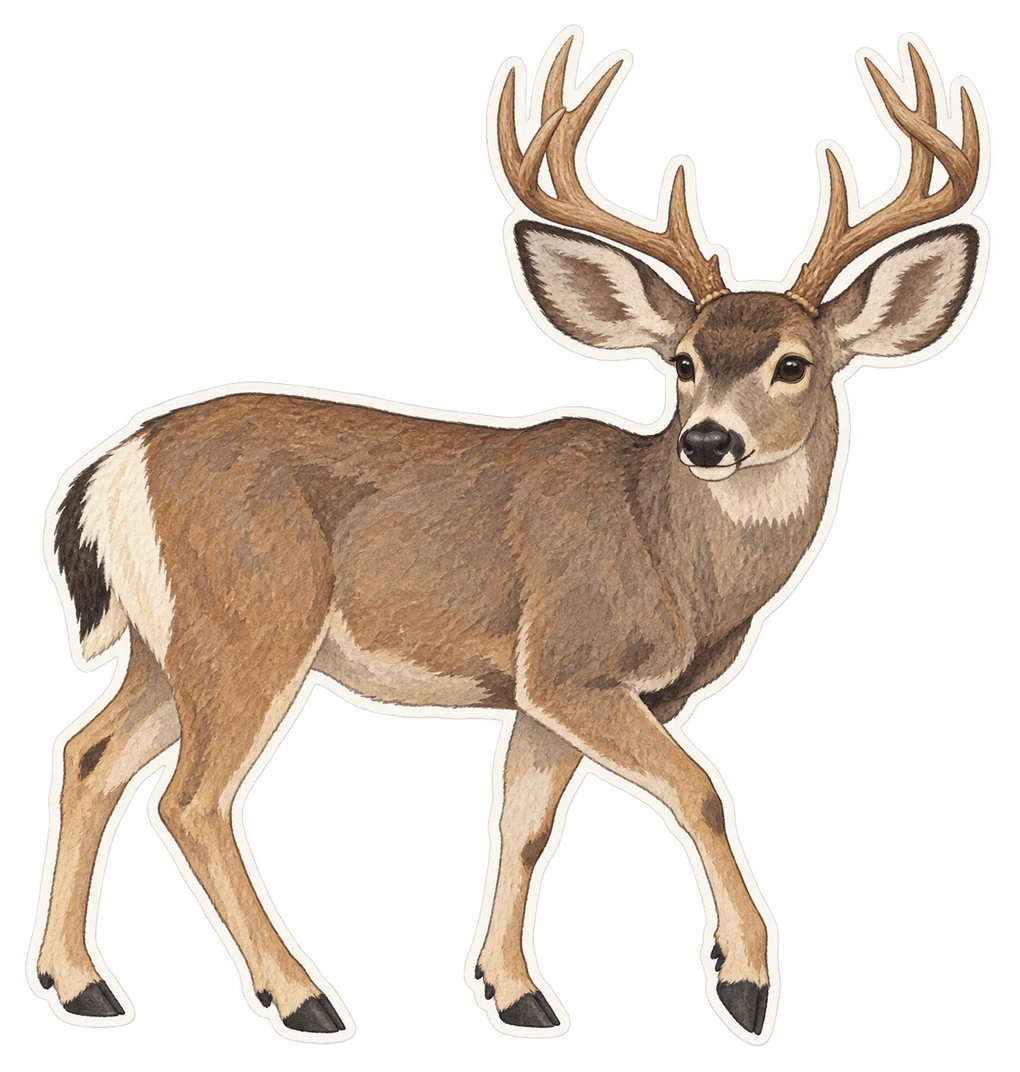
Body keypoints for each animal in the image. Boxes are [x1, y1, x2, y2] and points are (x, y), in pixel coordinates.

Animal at [27, 27, 987, 1045]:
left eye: (793, 364)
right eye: (684, 362)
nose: (708, 441)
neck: (671, 557)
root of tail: (117, 462)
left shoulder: (536, 698)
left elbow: (521, 828)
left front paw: (516, 992)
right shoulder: (572, 661)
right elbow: (699, 789)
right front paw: (744, 982)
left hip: (170, 644)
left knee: (87, 755)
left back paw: (81, 985)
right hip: (251, 618)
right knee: (193, 797)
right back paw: (304, 997)